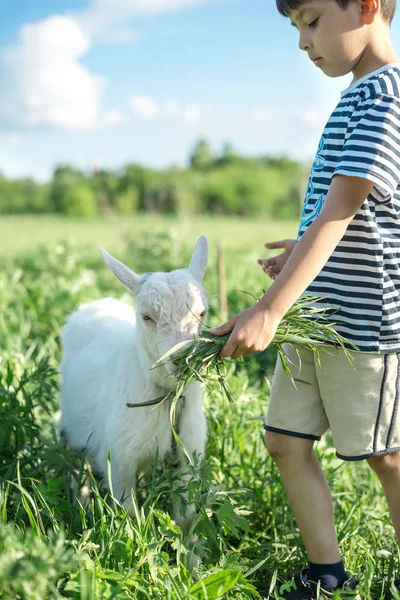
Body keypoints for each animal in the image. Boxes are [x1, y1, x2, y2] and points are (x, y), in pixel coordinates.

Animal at [60, 236, 209, 528]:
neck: (168, 399)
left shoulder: (188, 458)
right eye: (146, 316)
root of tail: (93, 304)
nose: (182, 359)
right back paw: (79, 504)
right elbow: (129, 514)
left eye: (202, 313)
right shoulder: (118, 462)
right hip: (71, 429)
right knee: (76, 469)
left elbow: (186, 519)